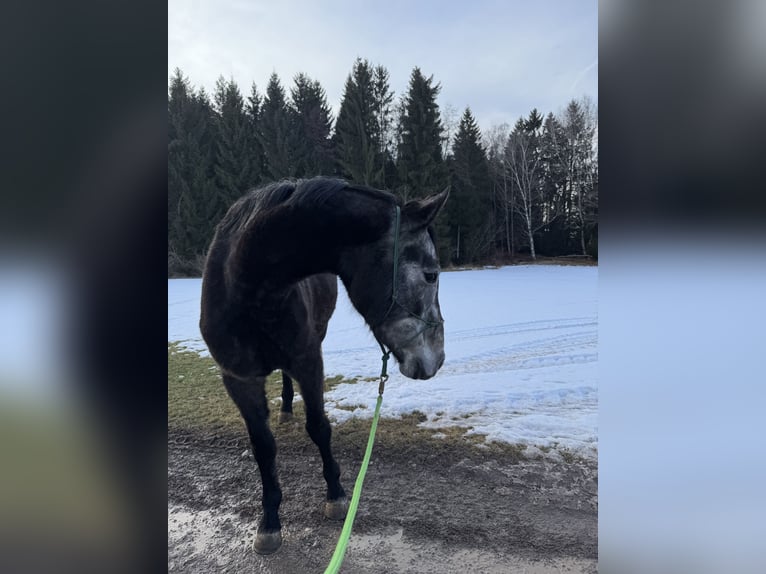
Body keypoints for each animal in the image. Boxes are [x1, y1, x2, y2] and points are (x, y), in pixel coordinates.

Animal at [199, 177, 448, 554]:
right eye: (431, 275)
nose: (438, 357)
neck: (248, 286)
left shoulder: (309, 362)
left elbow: (319, 428)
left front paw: (336, 495)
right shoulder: (238, 379)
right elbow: (263, 447)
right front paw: (269, 521)